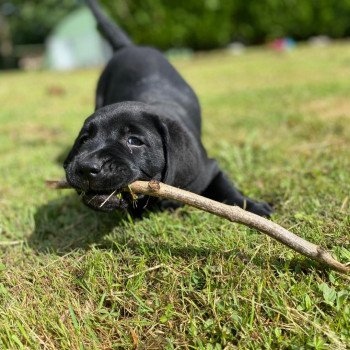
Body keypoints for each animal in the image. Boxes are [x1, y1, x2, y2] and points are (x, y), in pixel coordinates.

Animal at [63, 0, 274, 216]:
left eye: (134, 141)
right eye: (84, 140)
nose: (87, 167)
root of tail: (129, 47)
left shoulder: (208, 168)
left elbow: (226, 187)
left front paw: (253, 208)